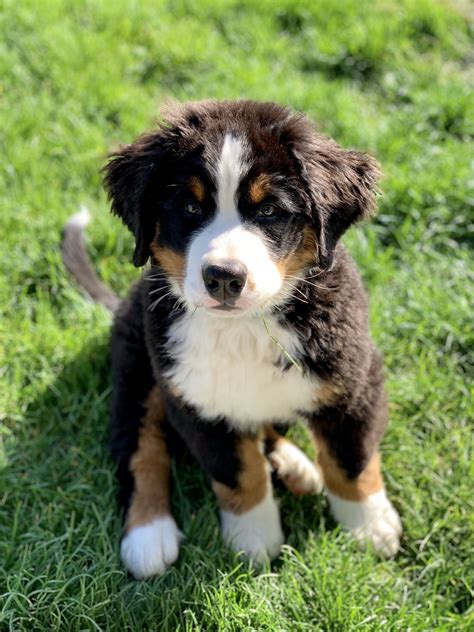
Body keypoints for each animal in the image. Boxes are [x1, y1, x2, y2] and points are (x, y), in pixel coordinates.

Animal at [63, 97, 402, 576]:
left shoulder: (353, 378)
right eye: (189, 208)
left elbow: (351, 459)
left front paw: (370, 526)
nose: (223, 277)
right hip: (139, 369)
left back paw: (295, 465)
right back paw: (148, 535)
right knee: (140, 449)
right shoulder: (196, 401)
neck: (245, 328)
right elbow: (238, 472)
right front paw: (255, 538)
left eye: (269, 211)